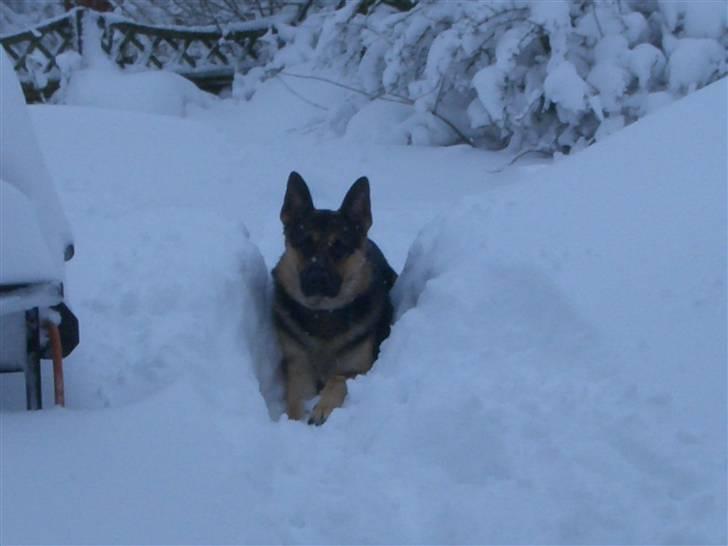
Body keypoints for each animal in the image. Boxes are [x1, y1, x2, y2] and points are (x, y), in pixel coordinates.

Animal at [272, 172, 398, 422]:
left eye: (338, 247)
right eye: (304, 243)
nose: (316, 277)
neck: (322, 314)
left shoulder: (359, 370)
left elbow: (337, 379)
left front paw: (322, 408)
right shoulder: (298, 368)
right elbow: (296, 402)